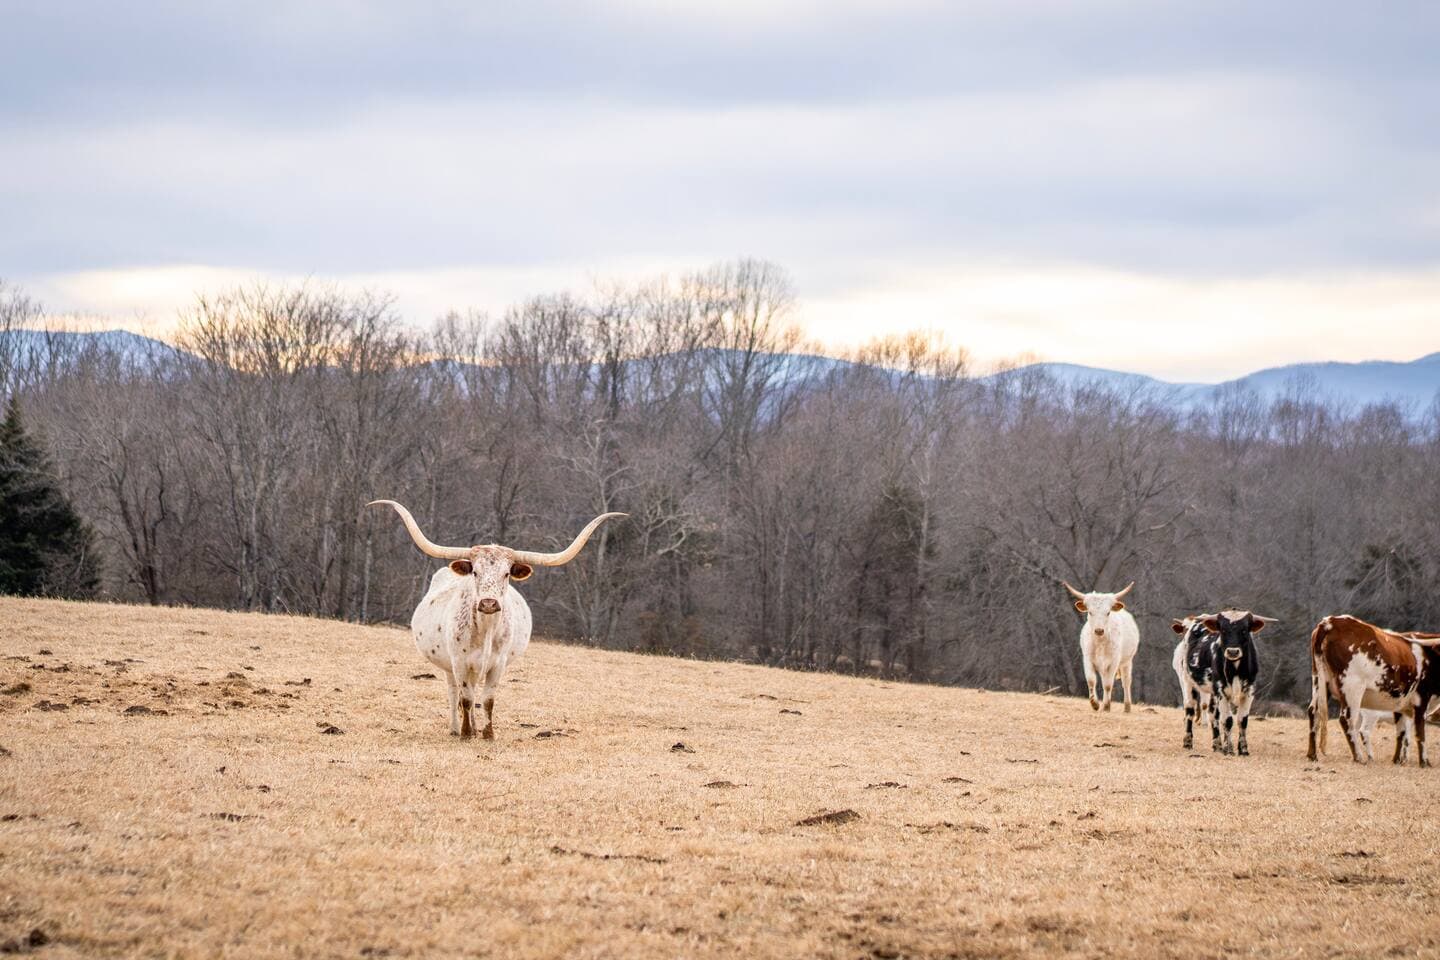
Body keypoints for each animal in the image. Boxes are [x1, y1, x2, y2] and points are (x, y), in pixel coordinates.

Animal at [369, 499, 625, 740]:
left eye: (506, 573)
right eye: (475, 572)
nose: (488, 603)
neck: (485, 630)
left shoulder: (497, 664)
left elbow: (488, 700)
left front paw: (487, 734)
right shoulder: (459, 662)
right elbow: (465, 699)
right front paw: (466, 733)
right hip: (449, 665)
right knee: (455, 693)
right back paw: (456, 728)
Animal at [1063, 582, 1139, 712]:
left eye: (1108, 612)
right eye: (1090, 612)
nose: (1099, 630)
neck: (1100, 643)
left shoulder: (1114, 662)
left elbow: (1108, 685)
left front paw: (1106, 706)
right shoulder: (1087, 659)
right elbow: (1091, 680)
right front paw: (1095, 704)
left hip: (1127, 661)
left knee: (1126, 681)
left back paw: (1127, 707)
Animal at [1193, 610, 1275, 756]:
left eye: (1244, 630)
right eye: (1223, 630)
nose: (1232, 652)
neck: (1235, 669)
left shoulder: (1249, 692)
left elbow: (1242, 720)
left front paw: (1243, 749)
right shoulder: (1221, 692)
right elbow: (1227, 720)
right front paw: (1229, 749)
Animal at [1308, 615, 1440, 765]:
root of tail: (1330, 622)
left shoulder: (1399, 704)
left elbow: (1401, 733)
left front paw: (1397, 760)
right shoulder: (1421, 700)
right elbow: (1420, 733)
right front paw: (1424, 762)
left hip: (1319, 681)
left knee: (1314, 712)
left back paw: (1312, 755)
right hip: (1353, 688)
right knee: (1347, 719)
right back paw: (1359, 757)